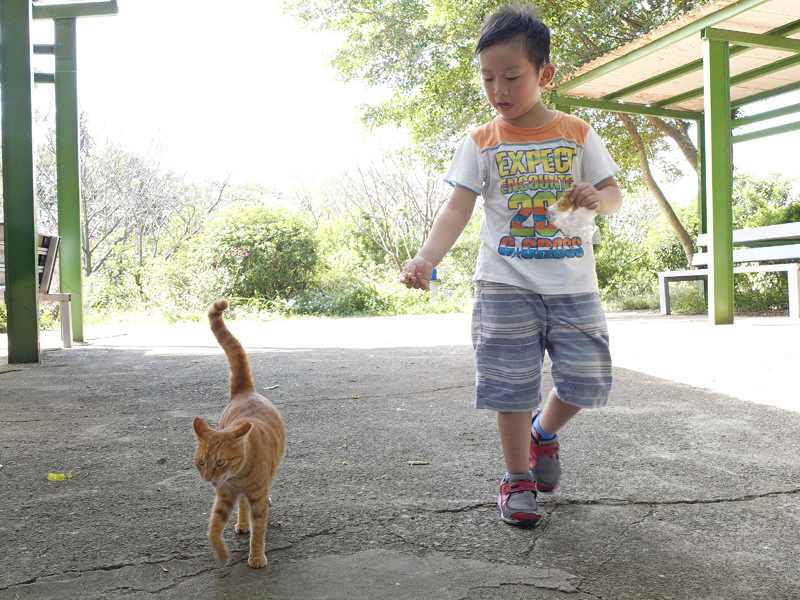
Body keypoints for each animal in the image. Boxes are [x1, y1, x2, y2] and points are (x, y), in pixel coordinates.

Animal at [193, 300, 286, 568]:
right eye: (201, 462)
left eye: (220, 462)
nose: (208, 478)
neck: (238, 477)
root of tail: (245, 391)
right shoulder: (224, 496)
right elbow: (213, 528)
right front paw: (222, 554)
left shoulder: (256, 498)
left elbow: (259, 531)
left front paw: (256, 556)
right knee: (242, 506)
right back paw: (242, 523)